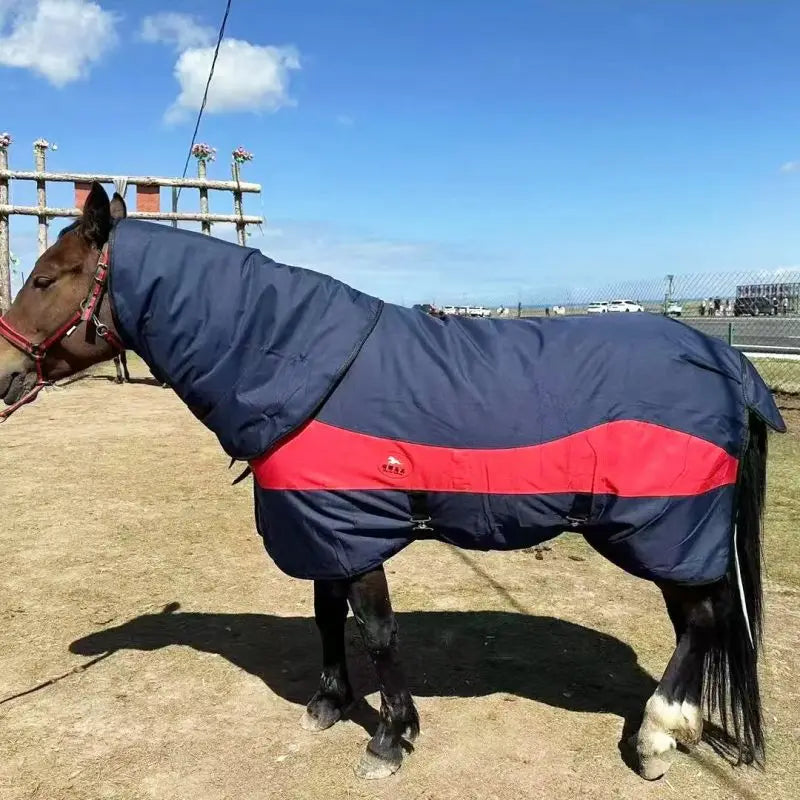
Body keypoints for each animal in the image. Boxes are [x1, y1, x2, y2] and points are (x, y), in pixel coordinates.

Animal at [0, 182, 786, 781]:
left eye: (44, 280)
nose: (4, 373)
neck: (302, 362)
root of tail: (728, 363)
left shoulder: (357, 527)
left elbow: (376, 631)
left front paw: (390, 736)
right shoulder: (323, 522)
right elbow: (328, 616)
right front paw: (330, 703)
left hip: (661, 525)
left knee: (705, 620)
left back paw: (656, 736)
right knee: (701, 621)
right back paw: (681, 727)